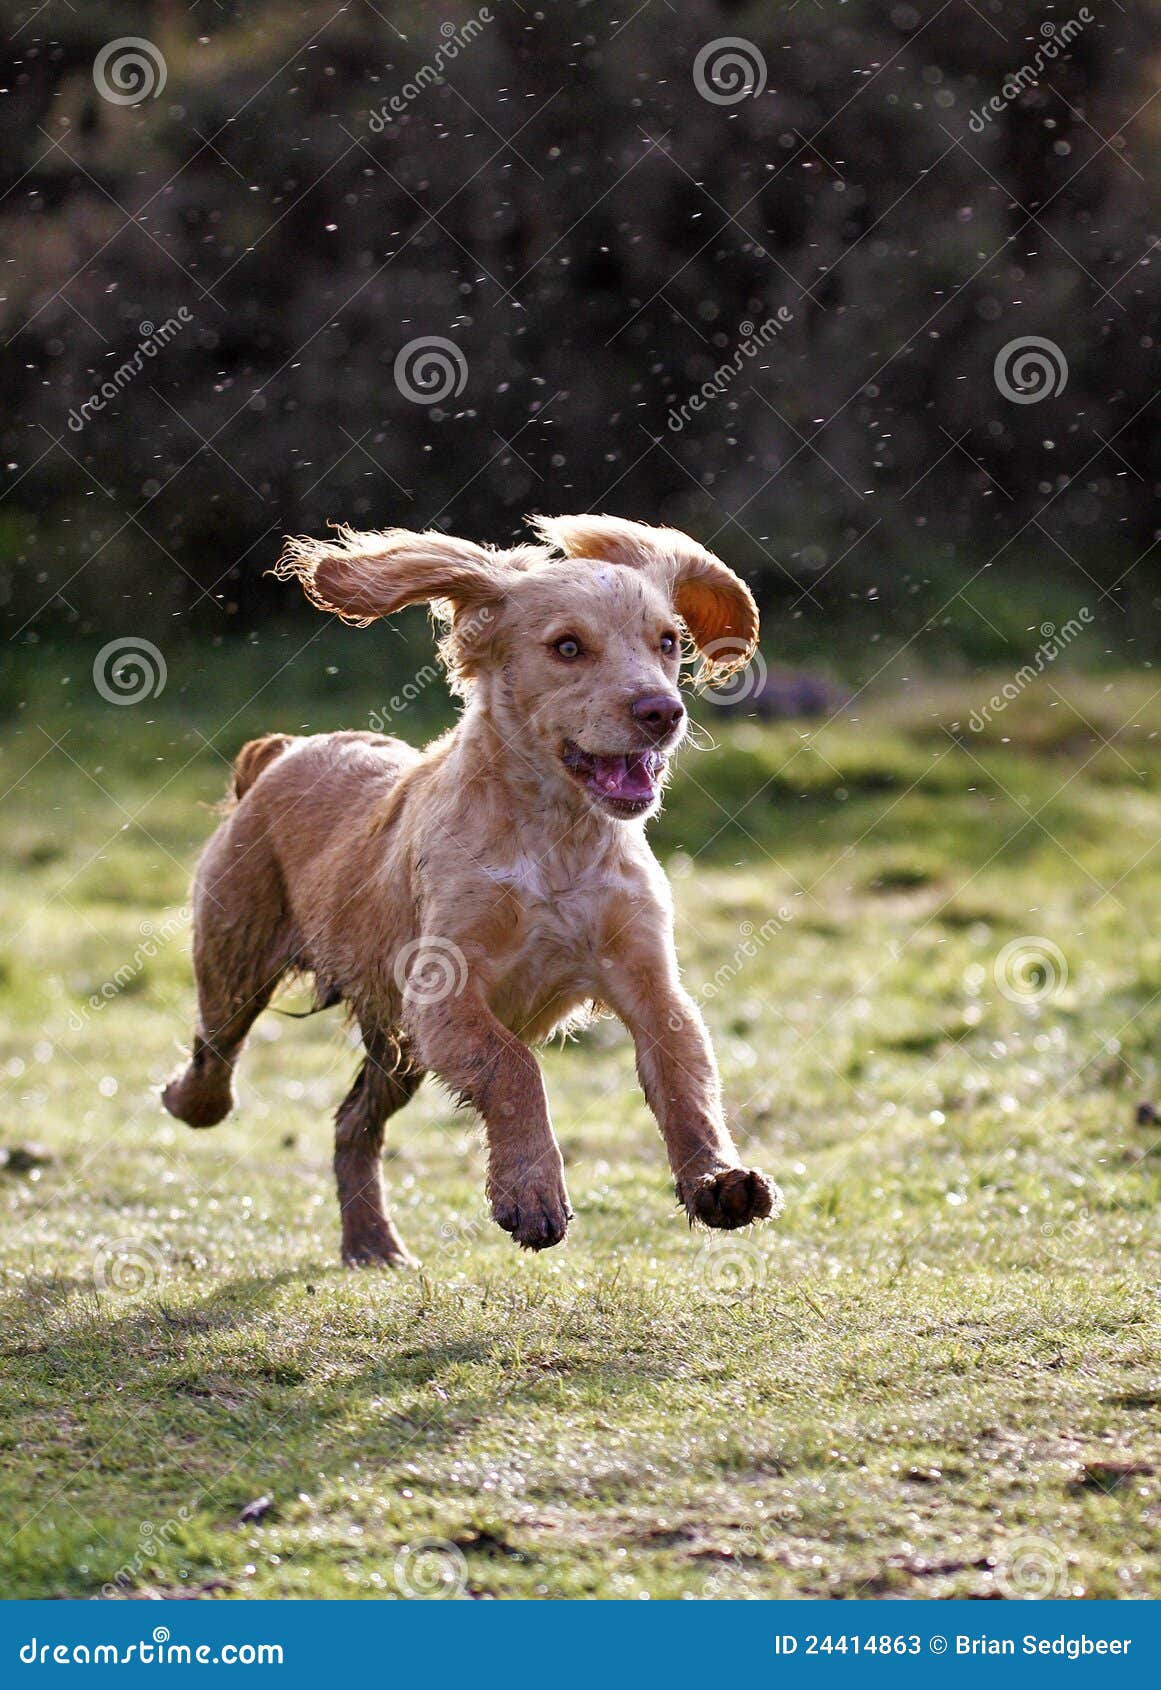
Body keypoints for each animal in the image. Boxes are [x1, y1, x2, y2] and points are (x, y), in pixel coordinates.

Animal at [161, 513, 780, 1270]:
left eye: (666, 641)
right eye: (567, 647)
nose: (662, 712)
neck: (554, 837)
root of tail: (282, 751)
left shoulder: (647, 981)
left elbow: (685, 1076)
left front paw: (716, 1180)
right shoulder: (445, 997)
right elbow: (514, 1067)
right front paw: (532, 1194)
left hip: (395, 1045)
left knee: (351, 1123)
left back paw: (372, 1244)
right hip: (238, 959)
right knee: (215, 1060)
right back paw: (188, 1100)